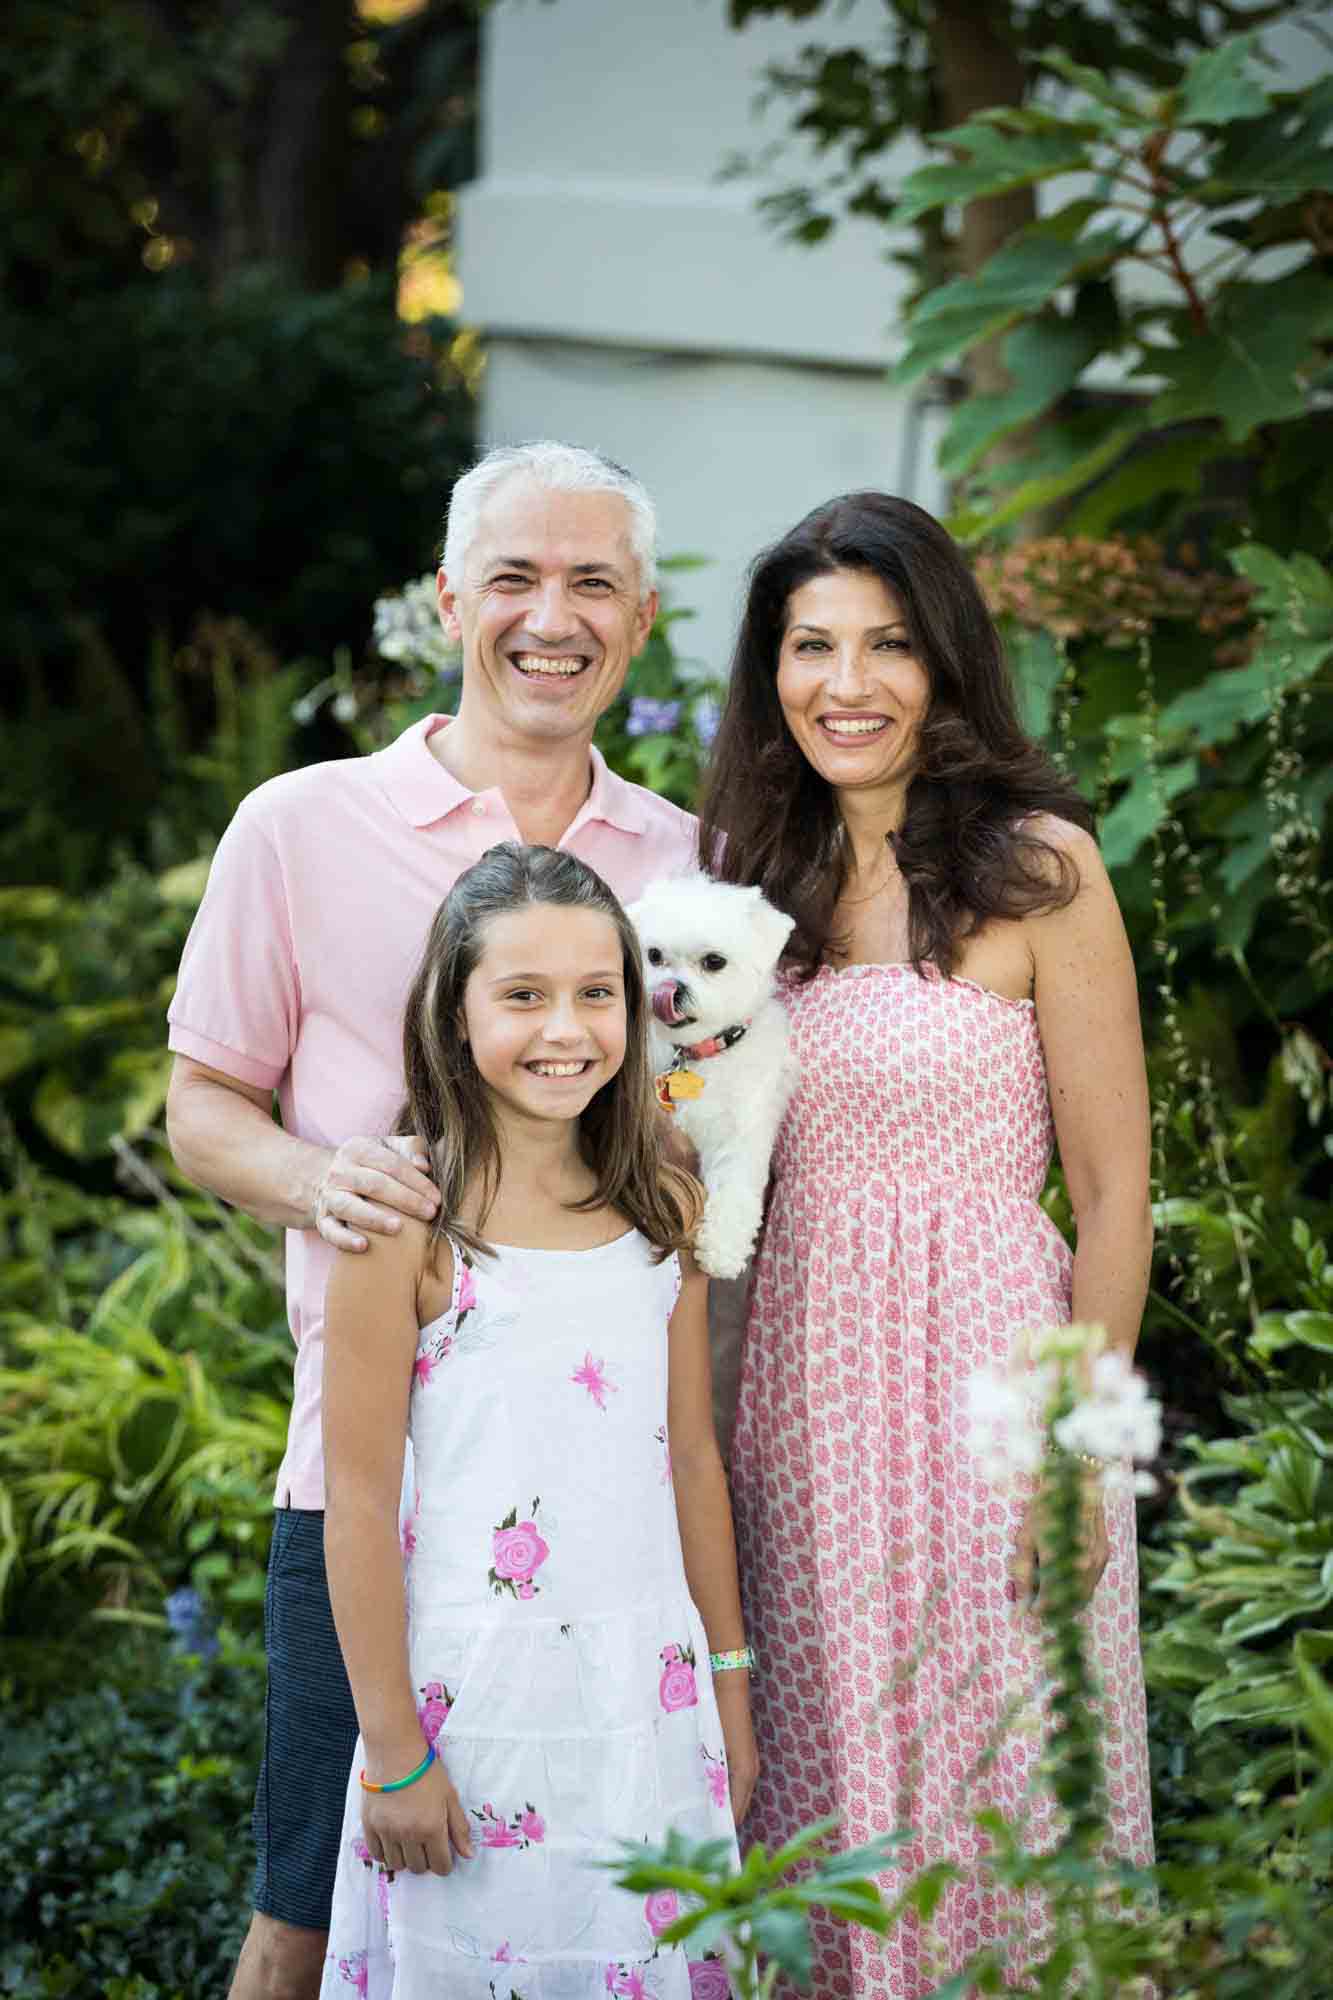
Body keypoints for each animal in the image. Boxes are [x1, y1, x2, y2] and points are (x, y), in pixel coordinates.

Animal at [628, 876, 792, 1280]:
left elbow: (736, 1186)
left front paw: (722, 1249)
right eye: (654, 955)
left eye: (714, 962)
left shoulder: (743, 1131)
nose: (670, 989)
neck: (696, 1056)